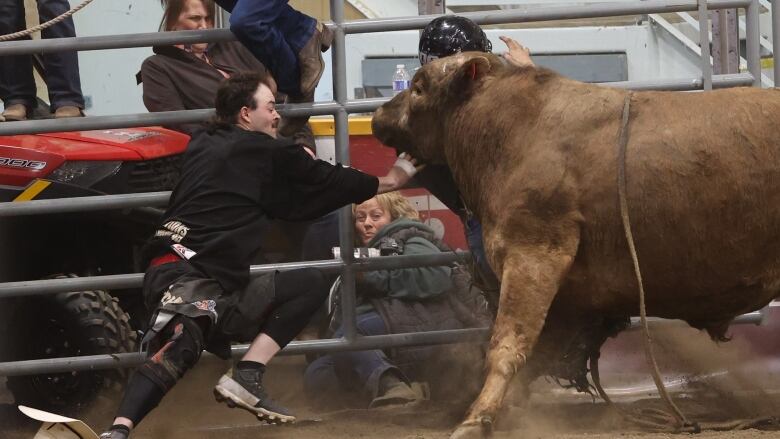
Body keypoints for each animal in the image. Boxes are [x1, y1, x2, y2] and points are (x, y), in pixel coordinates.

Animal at [370, 52, 780, 439]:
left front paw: (477, 419)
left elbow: (508, 344)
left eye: (419, 86)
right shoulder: (570, 297)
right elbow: (538, 352)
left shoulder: (533, 254)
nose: (377, 116)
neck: (514, 131)